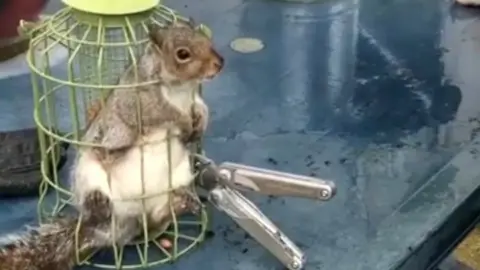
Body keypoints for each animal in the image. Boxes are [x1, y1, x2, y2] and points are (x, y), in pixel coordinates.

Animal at [71, 17, 223, 251]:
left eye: (205, 38)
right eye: (182, 54)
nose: (220, 63)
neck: (181, 89)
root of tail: (130, 219)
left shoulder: (194, 99)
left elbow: (202, 108)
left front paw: (200, 124)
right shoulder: (143, 104)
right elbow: (170, 114)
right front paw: (186, 124)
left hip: (179, 178)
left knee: (158, 217)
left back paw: (181, 204)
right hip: (88, 174)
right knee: (95, 211)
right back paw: (97, 202)